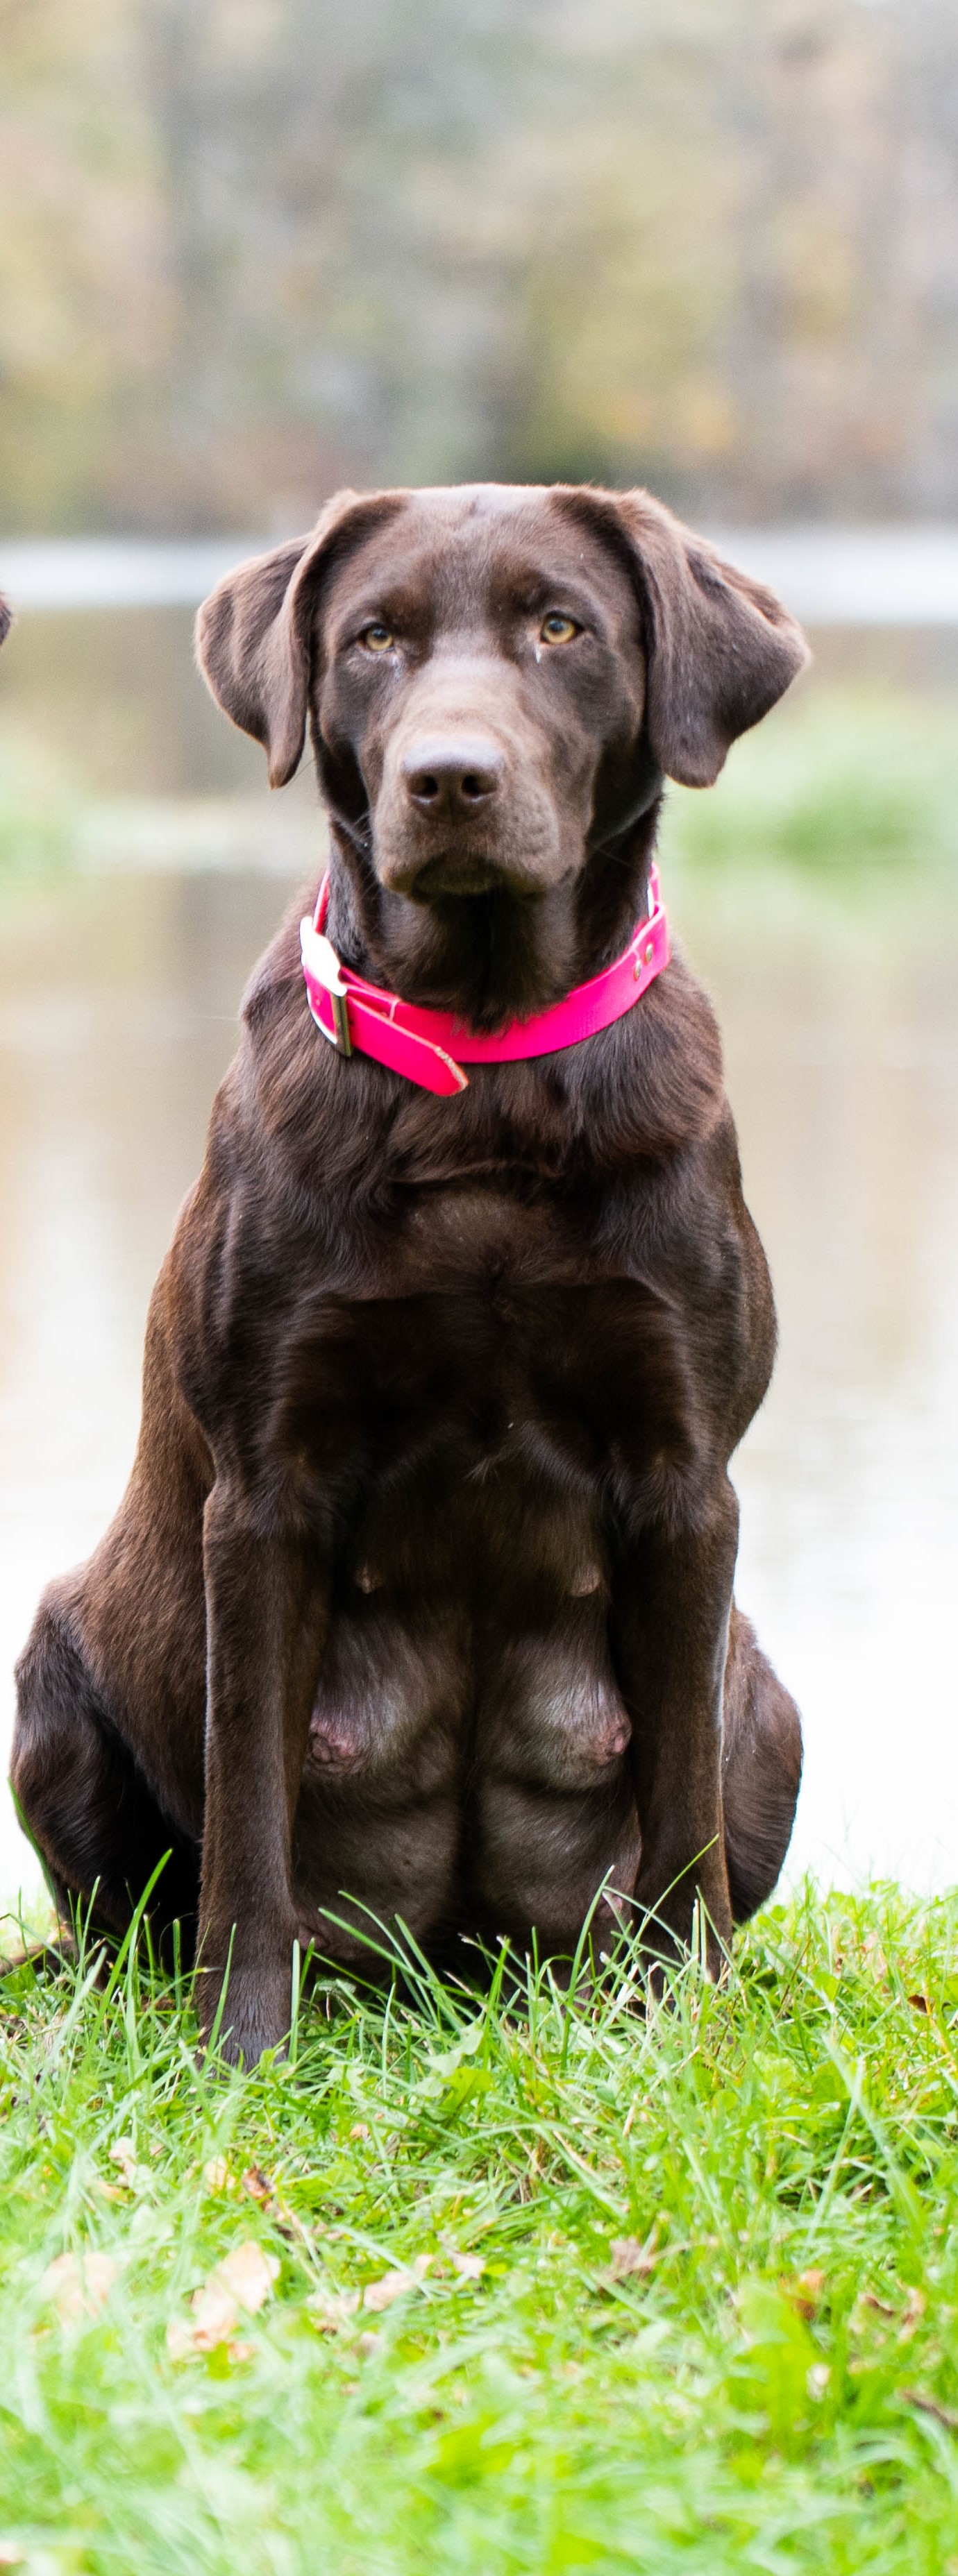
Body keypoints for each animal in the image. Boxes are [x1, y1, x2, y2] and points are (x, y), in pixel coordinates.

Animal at [12, 479, 808, 2050]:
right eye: (374, 638)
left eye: (561, 628)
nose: (449, 779)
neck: (487, 1078)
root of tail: (457, 1956)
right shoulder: (269, 1484)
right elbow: (250, 1811)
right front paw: (243, 2046)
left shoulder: (687, 1473)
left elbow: (679, 1803)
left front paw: (681, 2023)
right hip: (53, 1678)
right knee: (118, 1914)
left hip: (774, 1708)